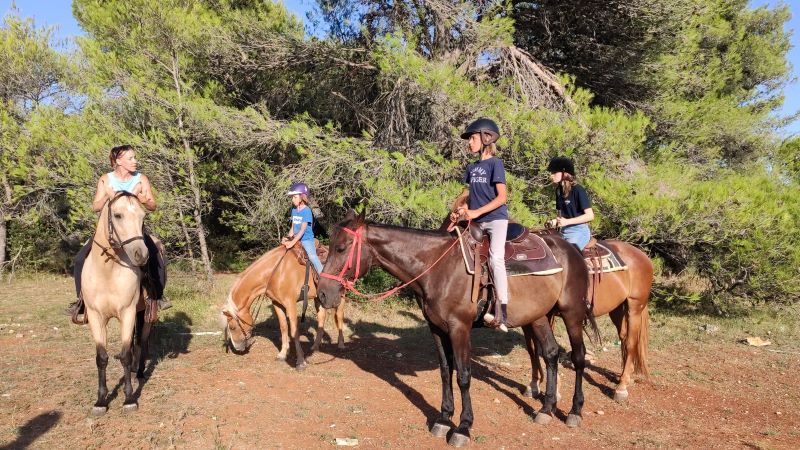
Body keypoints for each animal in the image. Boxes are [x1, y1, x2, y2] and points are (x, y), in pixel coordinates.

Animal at [81, 192, 152, 416]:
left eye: (143, 217)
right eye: (118, 215)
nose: (141, 255)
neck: (108, 271)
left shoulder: (127, 313)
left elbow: (126, 355)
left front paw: (129, 398)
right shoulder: (96, 317)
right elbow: (101, 358)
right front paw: (100, 401)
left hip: (146, 313)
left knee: (142, 341)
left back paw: (139, 372)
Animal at [318, 210, 600, 446]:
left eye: (341, 248)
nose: (322, 294)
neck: (436, 267)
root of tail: (571, 249)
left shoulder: (459, 328)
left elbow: (463, 375)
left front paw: (463, 427)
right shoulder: (436, 328)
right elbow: (446, 371)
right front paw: (444, 419)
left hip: (572, 314)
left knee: (578, 356)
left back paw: (574, 411)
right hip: (539, 316)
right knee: (551, 354)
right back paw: (546, 409)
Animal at [528, 241, 652, 402]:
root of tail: (642, 255)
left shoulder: (547, 315)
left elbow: (544, 350)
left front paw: (554, 390)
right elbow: (533, 348)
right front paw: (533, 385)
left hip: (635, 306)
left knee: (631, 342)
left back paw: (622, 388)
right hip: (617, 308)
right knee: (624, 338)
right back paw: (625, 377)